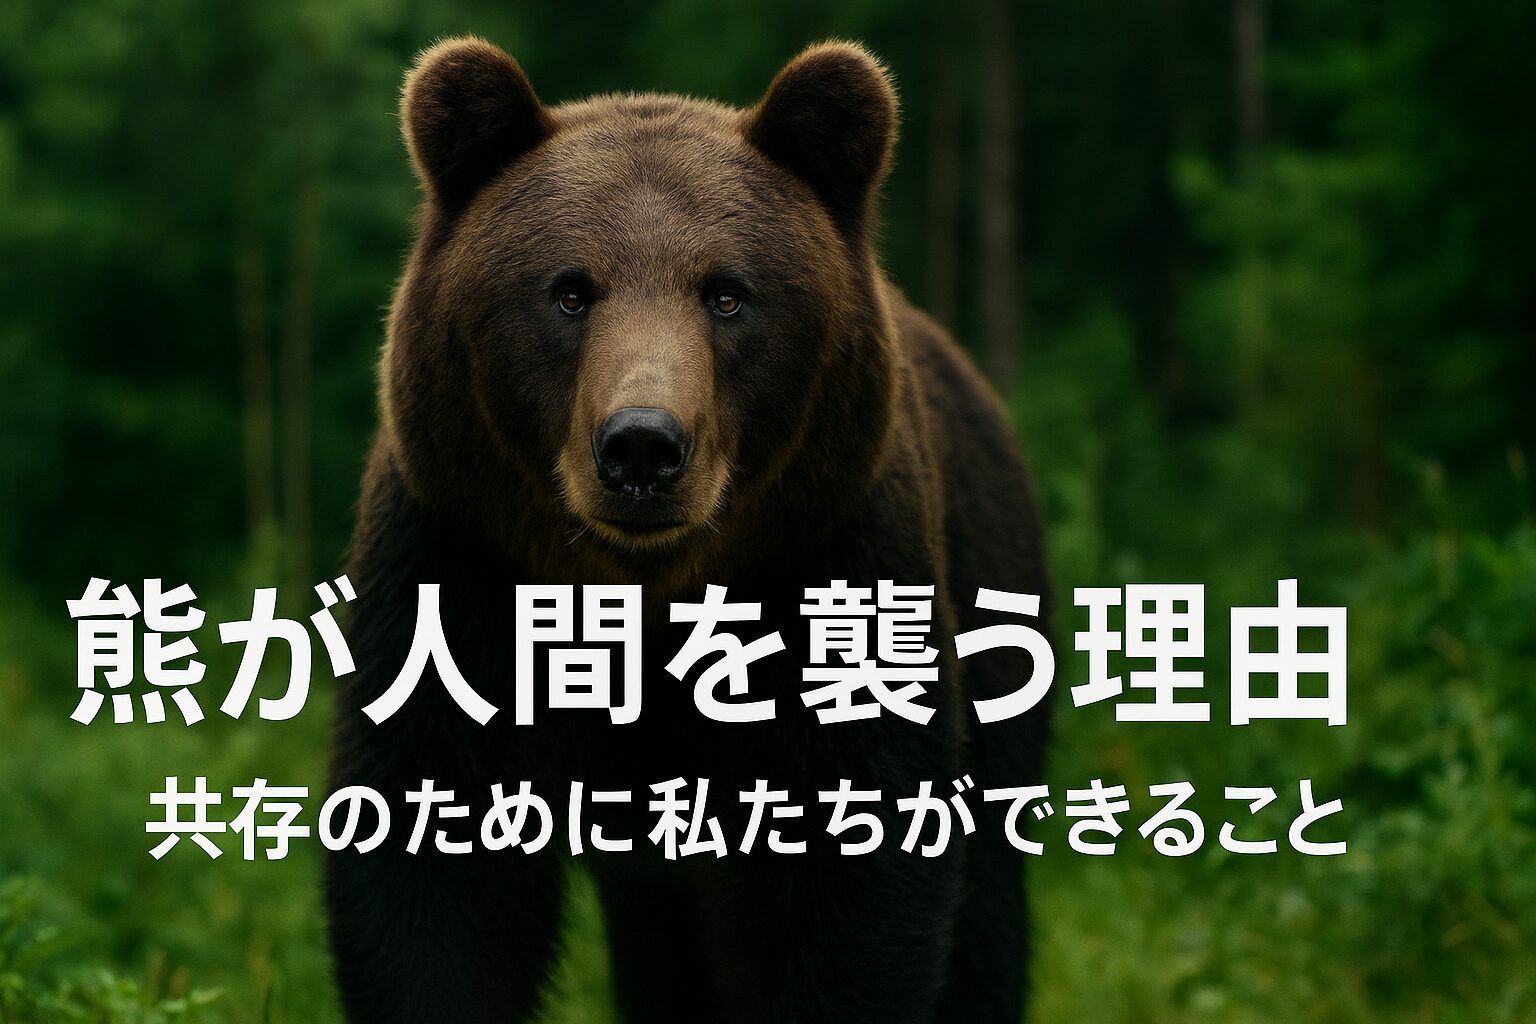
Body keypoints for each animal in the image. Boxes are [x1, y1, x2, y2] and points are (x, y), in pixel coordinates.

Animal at [325, 36, 1051, 1024]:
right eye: (569, 291)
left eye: (727, 294)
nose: (642, 445)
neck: (649, 595)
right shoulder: (460, 565)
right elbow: (434, 871)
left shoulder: (827, 565)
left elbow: (848, 884)